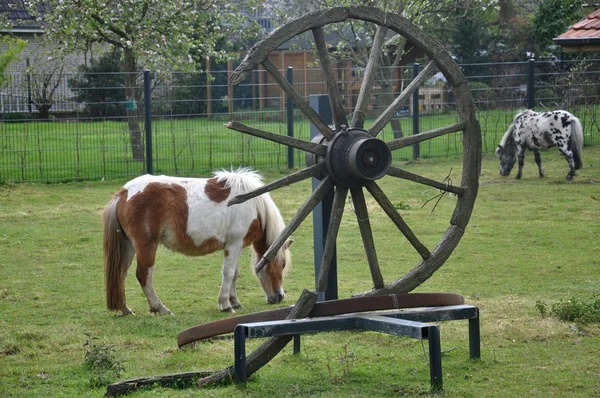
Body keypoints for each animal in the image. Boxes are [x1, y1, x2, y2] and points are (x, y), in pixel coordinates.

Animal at [102, 169, 292, 316]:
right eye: (282, 264)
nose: (279, 296)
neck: (253, 204)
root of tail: (124, 192)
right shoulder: (234, 245)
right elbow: (228, 273)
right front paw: (225, 304)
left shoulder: (234, 246)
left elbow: (234, 274)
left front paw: (234, 301)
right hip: (146, 246)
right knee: (143, 275)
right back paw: (160, 308)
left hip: (129, 246)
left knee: (121, 274)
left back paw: (125, 309)